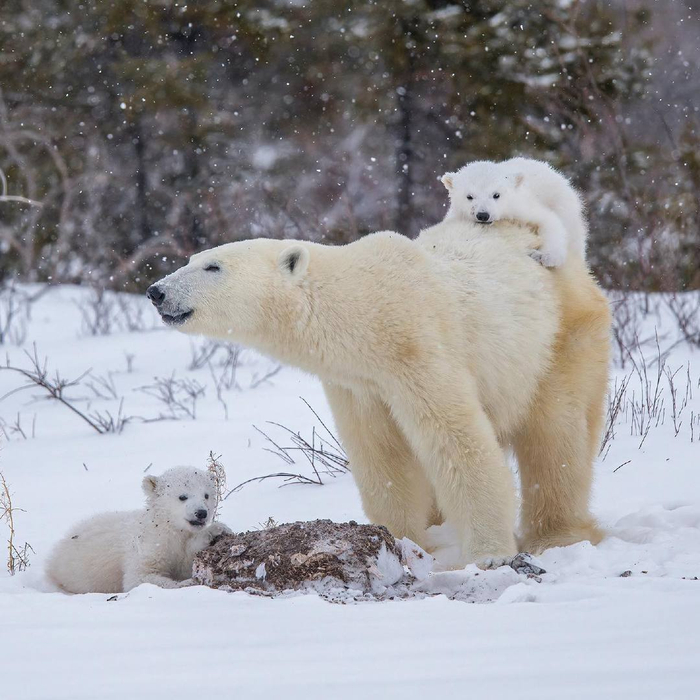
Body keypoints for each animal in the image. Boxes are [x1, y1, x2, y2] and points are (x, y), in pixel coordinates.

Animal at [46, 467, 231, 593]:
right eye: (182, 496)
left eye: (206, 495)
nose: (201, 513)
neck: (167, 529)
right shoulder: (148, 545)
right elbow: (139, 577)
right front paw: (185, 583)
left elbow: (185, 561)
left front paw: (217, 529)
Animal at [146, 219, 610, 568]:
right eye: (190, 259)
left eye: (213, 267)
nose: (156, 291)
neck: (365, 312)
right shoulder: (359, 384)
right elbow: (382, 456)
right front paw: (404, 540)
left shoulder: (418, 350)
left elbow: (458, 441)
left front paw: (489, 554)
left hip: (558, 339)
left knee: (556, 436)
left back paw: (557, 535)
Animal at [441, 157, 588, 268]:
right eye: (469, 196)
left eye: (496, 195)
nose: (483, 215)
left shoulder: (522, 206)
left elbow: (550, 221)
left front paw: (546, 257)